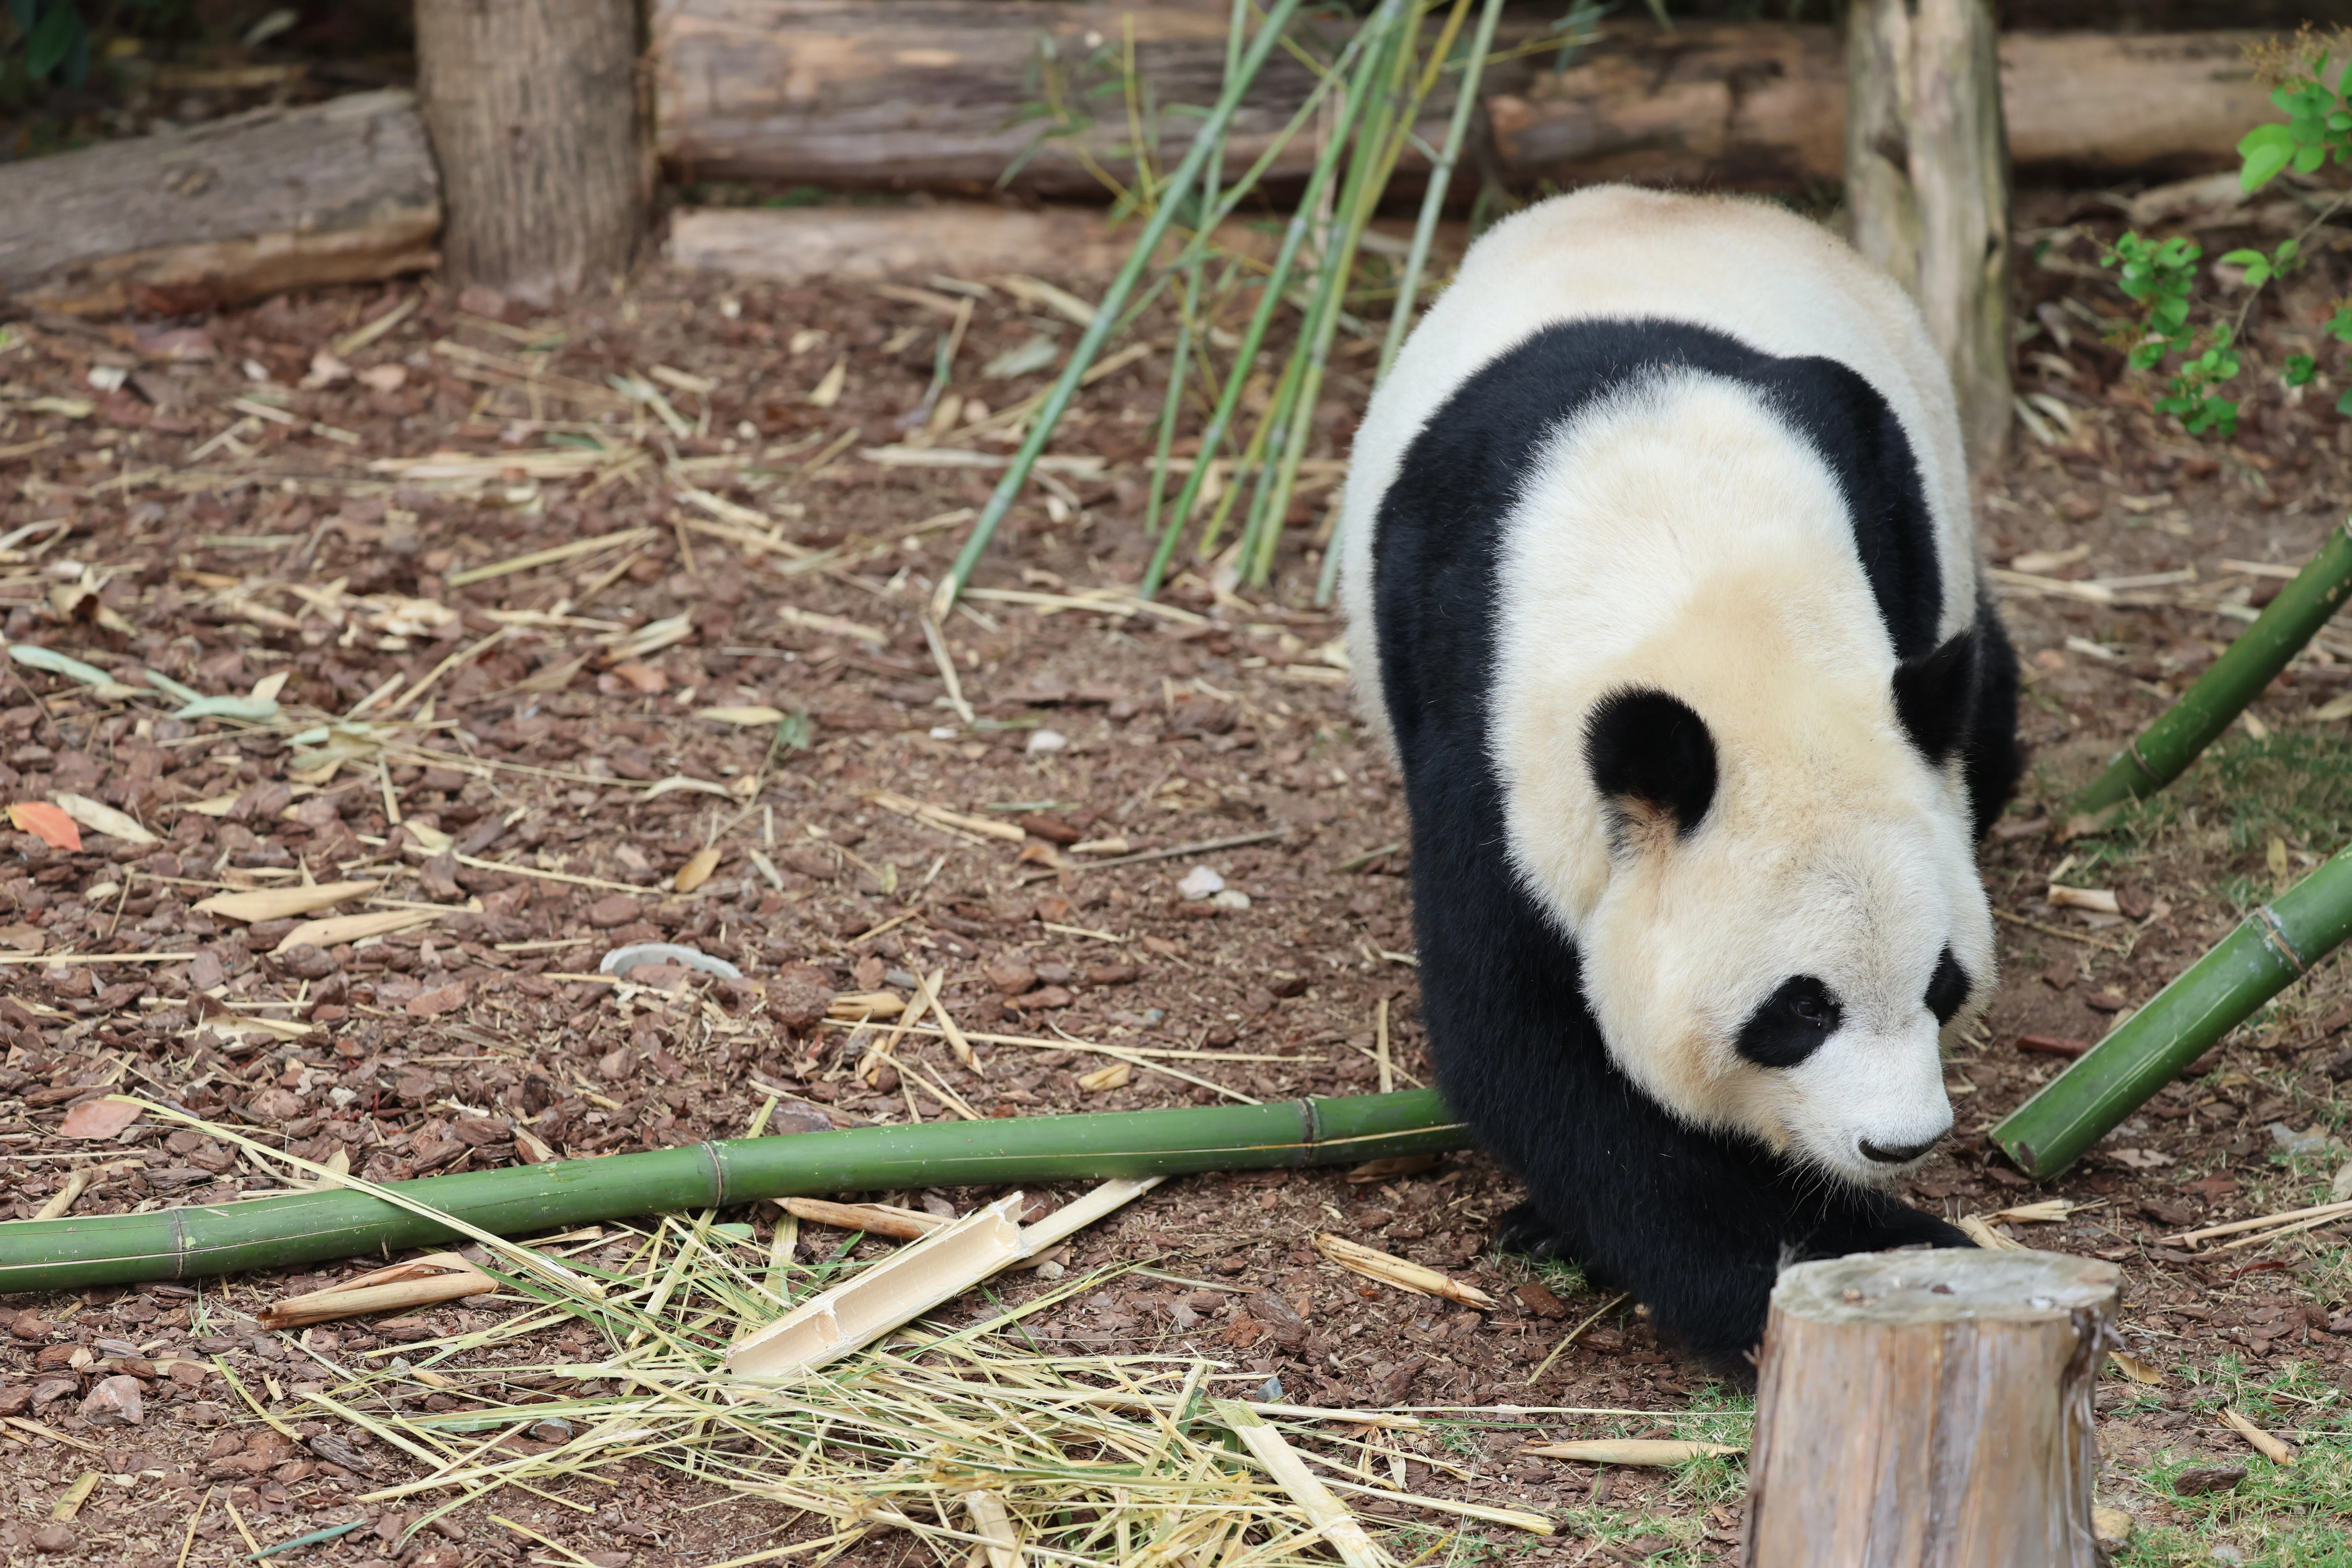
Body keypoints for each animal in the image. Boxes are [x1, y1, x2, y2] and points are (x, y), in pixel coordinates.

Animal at [1338, 185, 2022, 1366]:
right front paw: (1826, 1259)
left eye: (1943, 982)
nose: (1899, 1144)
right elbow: (1534, 1049)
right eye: (1799, 1008)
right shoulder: (1485, 734)